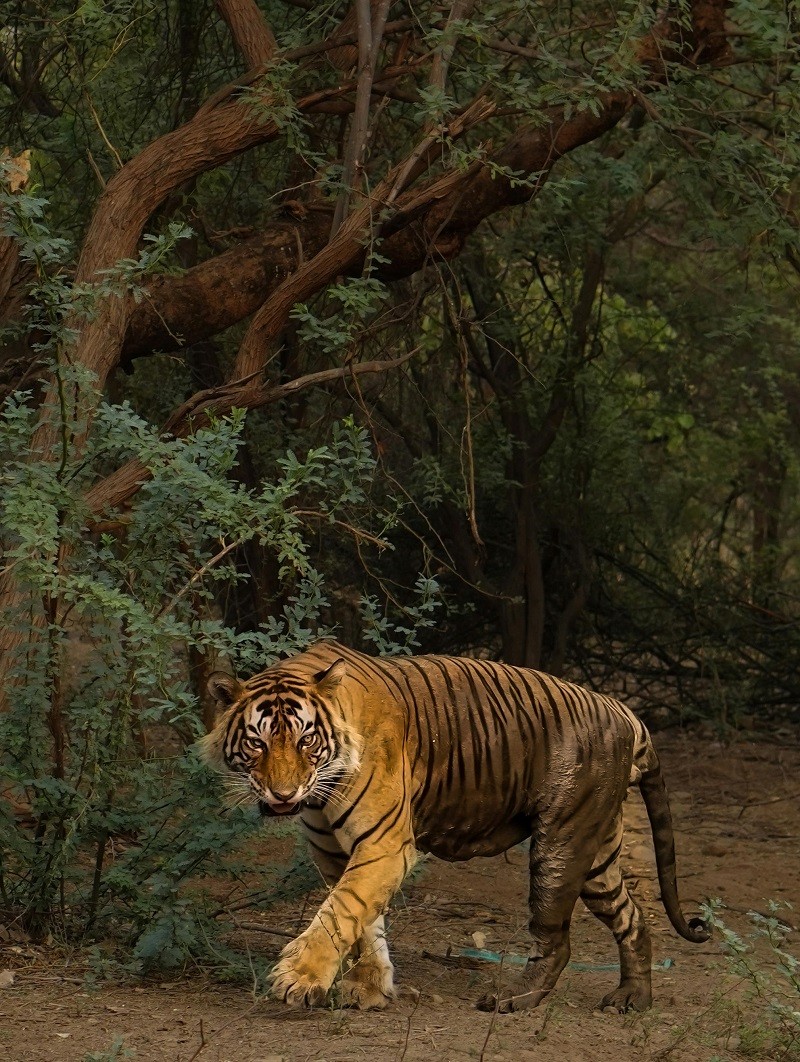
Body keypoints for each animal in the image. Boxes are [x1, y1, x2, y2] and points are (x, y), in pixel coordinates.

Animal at [199, 637, 705, 1011]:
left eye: (306, 741)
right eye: (258, 744)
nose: (284, 795)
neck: (321, 792)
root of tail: (622, 709)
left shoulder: (384, 843)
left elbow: (340, 911)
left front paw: (299, 979)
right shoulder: (332, 851)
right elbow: (363, 920)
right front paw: (370, 988)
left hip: (561, 842)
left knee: (555, 935)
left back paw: (513, 999)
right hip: (596, 854)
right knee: (633, 917)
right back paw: (633, 998)